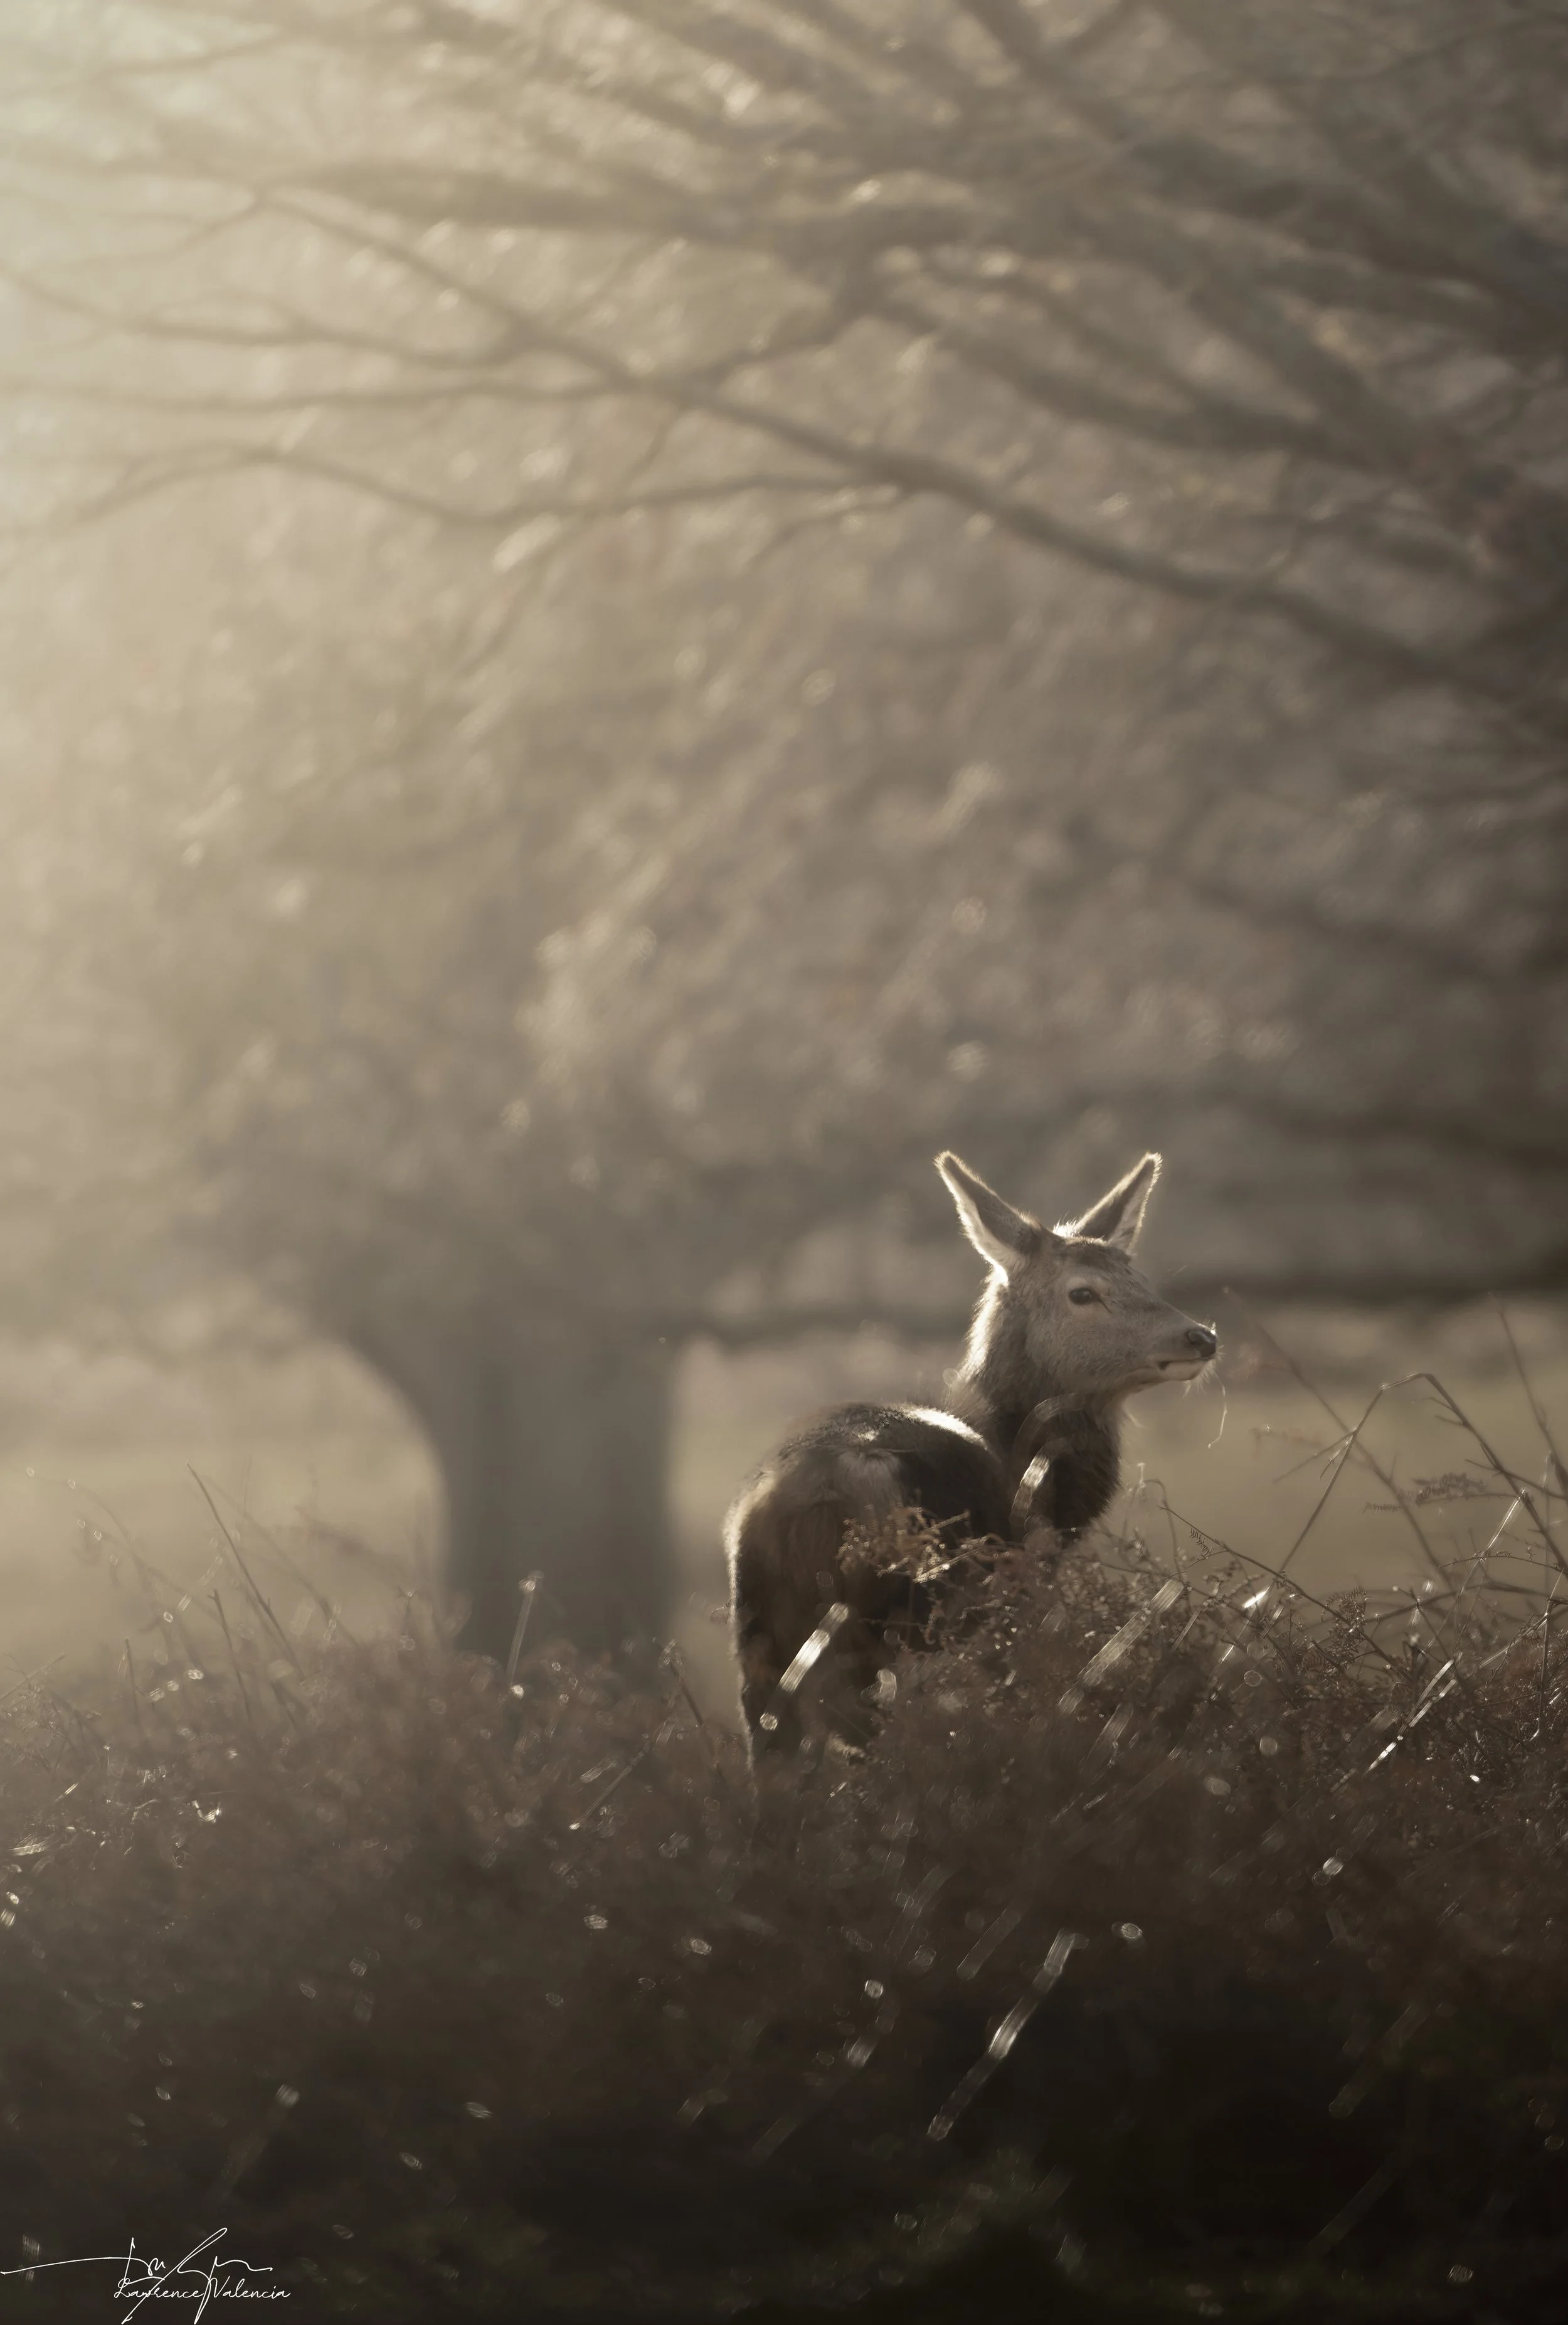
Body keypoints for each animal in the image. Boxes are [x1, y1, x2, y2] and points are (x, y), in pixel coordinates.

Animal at [725, 1150, 1217, 1753]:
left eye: (1142, 1278)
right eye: (1083, 1292)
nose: (1201, 1337)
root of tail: (821, 1495)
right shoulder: (1019, 1599)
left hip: (759, 1638)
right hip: (905, 1621)